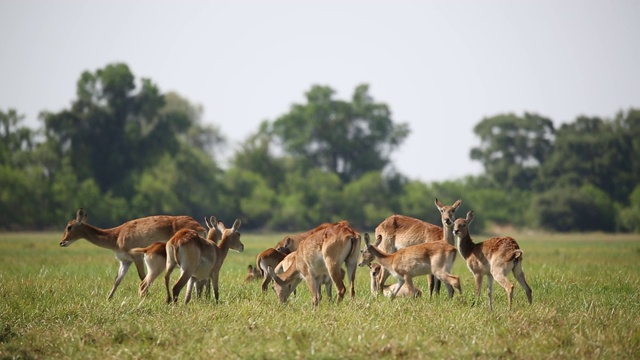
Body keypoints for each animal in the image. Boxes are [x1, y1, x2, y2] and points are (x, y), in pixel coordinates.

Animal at [59, 207, 204, 300]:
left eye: (69, 226)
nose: (62, 242)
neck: (117, 236)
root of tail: (199, 226)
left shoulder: (136, 257)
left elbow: (142, 277)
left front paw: (146, 297)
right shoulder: (125, 261)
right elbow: (117, 280)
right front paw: (108, 298)